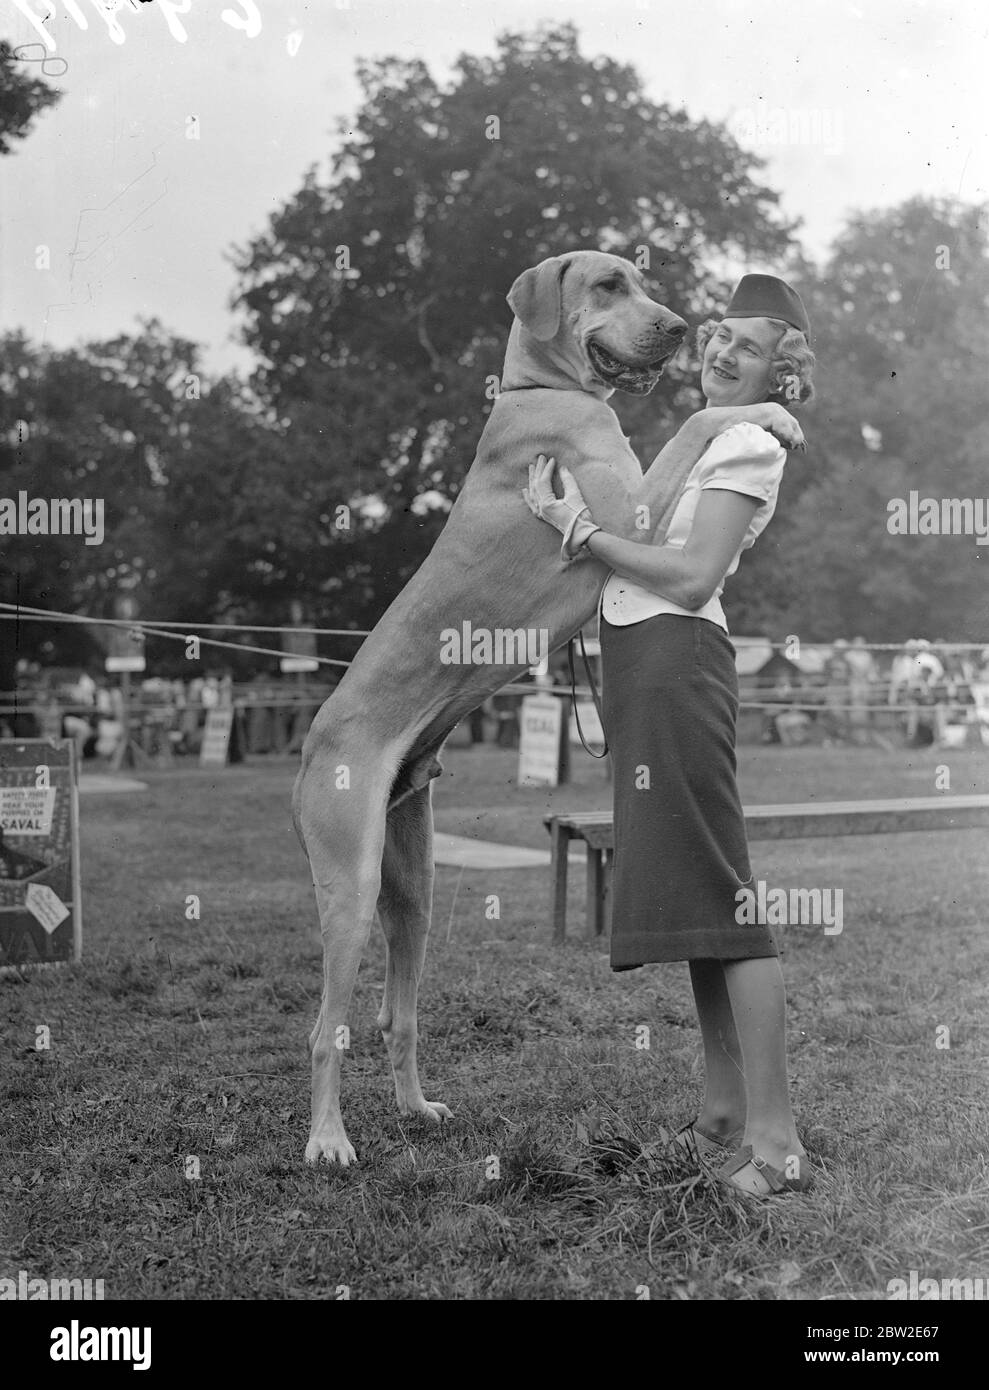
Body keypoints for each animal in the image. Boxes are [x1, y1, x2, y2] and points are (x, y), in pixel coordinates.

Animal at [293, 247, 794, 1162]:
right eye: (608, 284)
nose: (678, 326)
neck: (539, 389)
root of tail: (313, 740)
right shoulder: (635, 507)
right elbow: (695, 426)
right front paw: (771, 414)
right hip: (346, 884)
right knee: (325, 1030)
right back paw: (328, 1141)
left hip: (411, 886)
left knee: (398, 1014)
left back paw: (415, 1109)